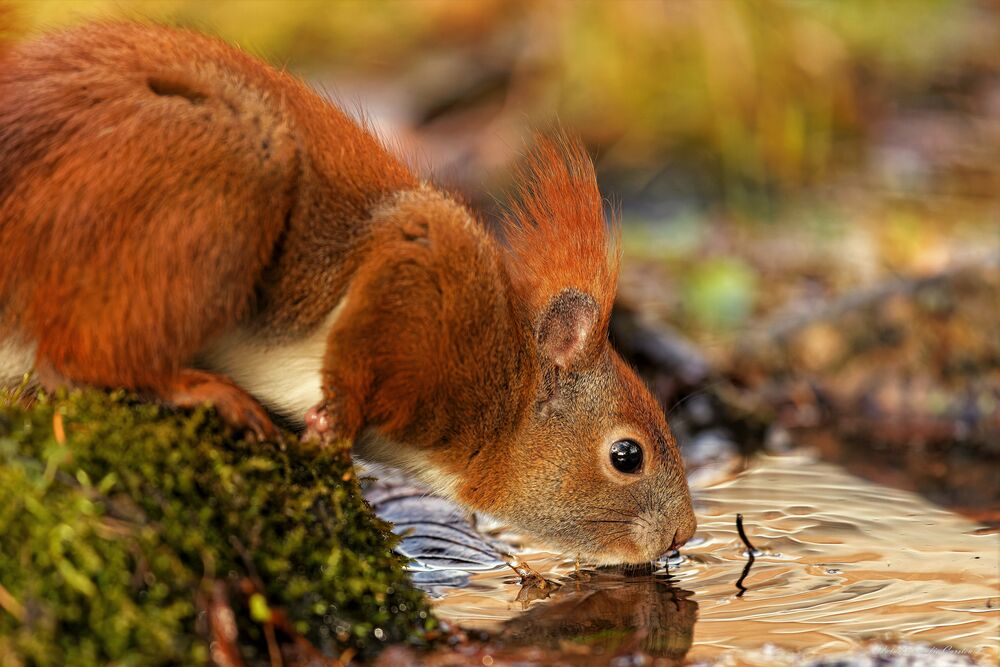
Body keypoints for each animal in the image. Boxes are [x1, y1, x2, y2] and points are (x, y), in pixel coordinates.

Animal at [0, 22, 696, 564]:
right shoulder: (421, 264)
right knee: (79, 358)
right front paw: (335, 427)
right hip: (222, 179)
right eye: (626, 455)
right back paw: (199, 389)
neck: (498, 380)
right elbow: (357, 348)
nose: (683, 536)